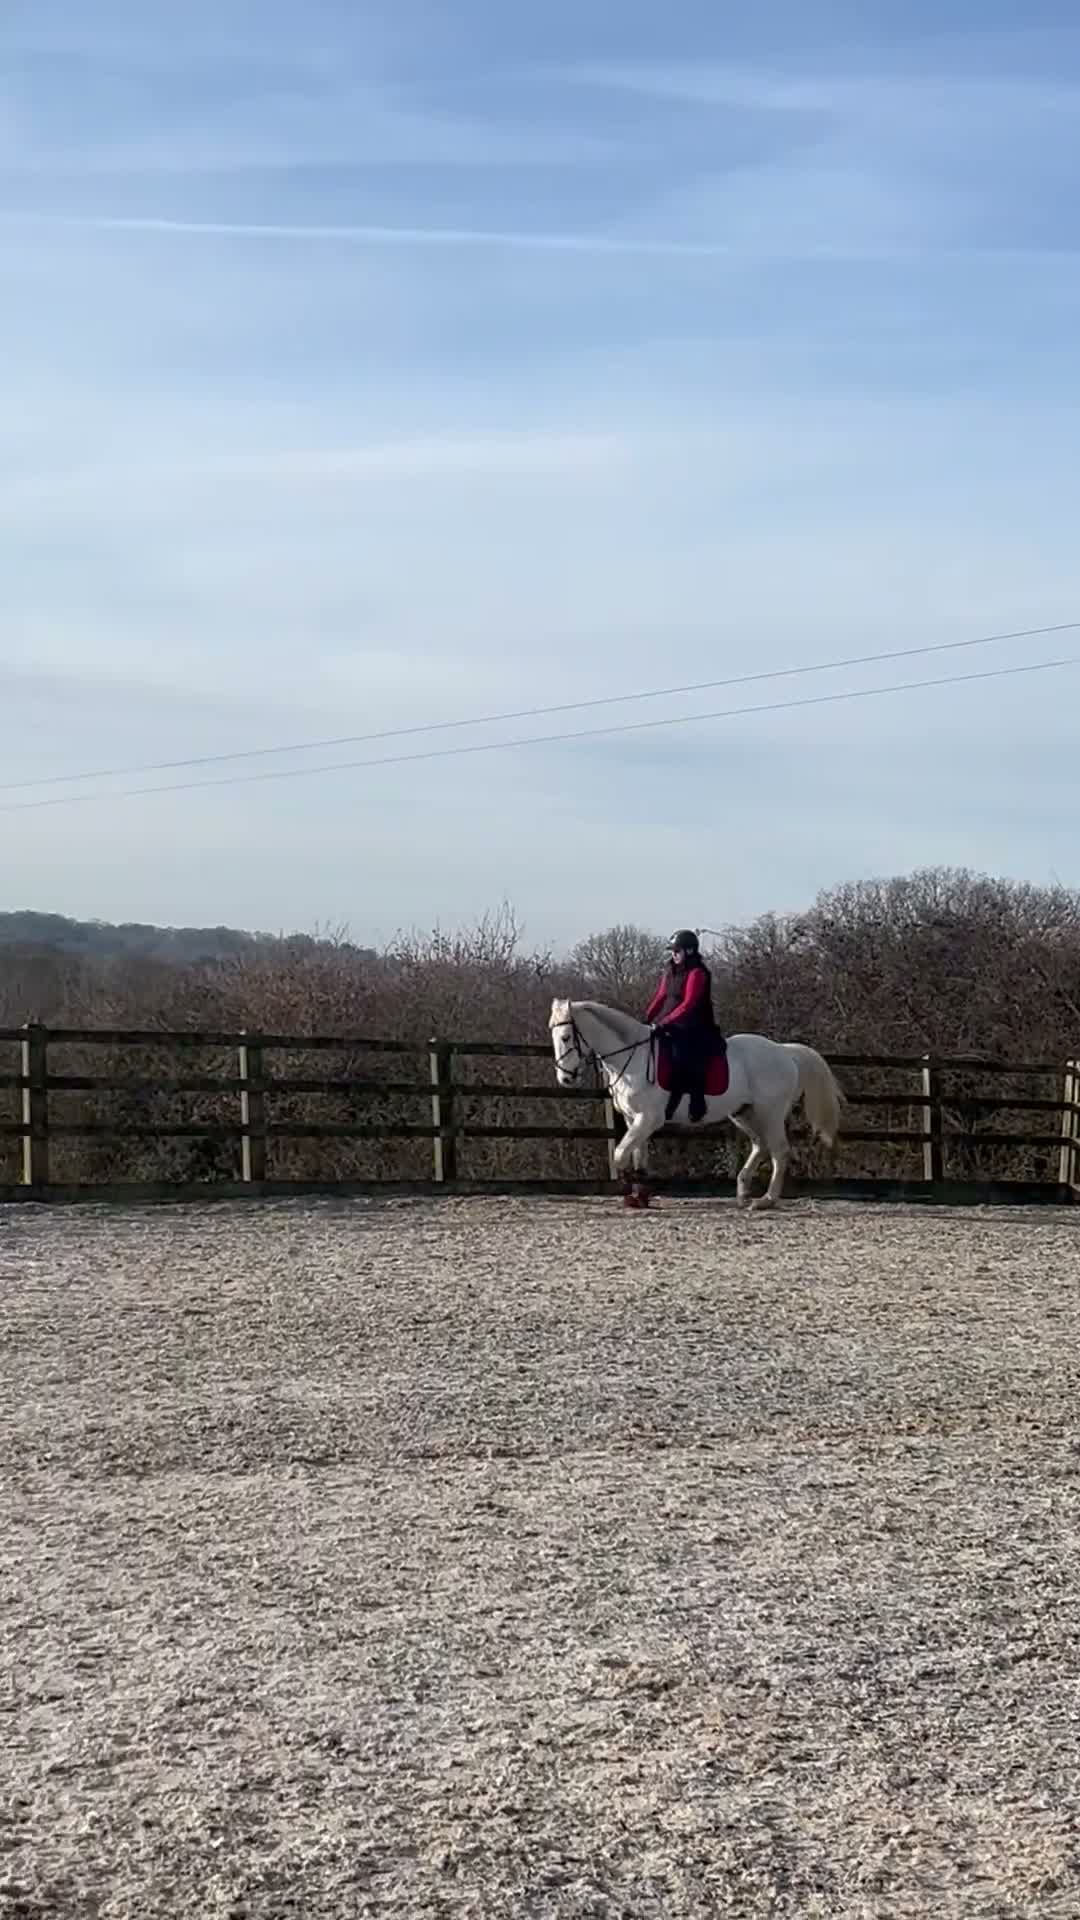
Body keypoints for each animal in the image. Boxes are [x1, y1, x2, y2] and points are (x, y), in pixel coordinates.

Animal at [548, 997, 842, 1209]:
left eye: (566, 1038)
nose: (565, 1078)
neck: (632, 1057)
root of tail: (784, 1051)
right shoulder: (635, 1119)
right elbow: (638, 1157)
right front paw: (639, 1197)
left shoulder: (649, 1119)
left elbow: (620, 1155)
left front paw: (630, 1190)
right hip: (744, 1113)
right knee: (760, 1145)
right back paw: (742, 1192)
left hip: (770, 1114)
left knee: (779, 1151)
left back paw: (765, 1200)